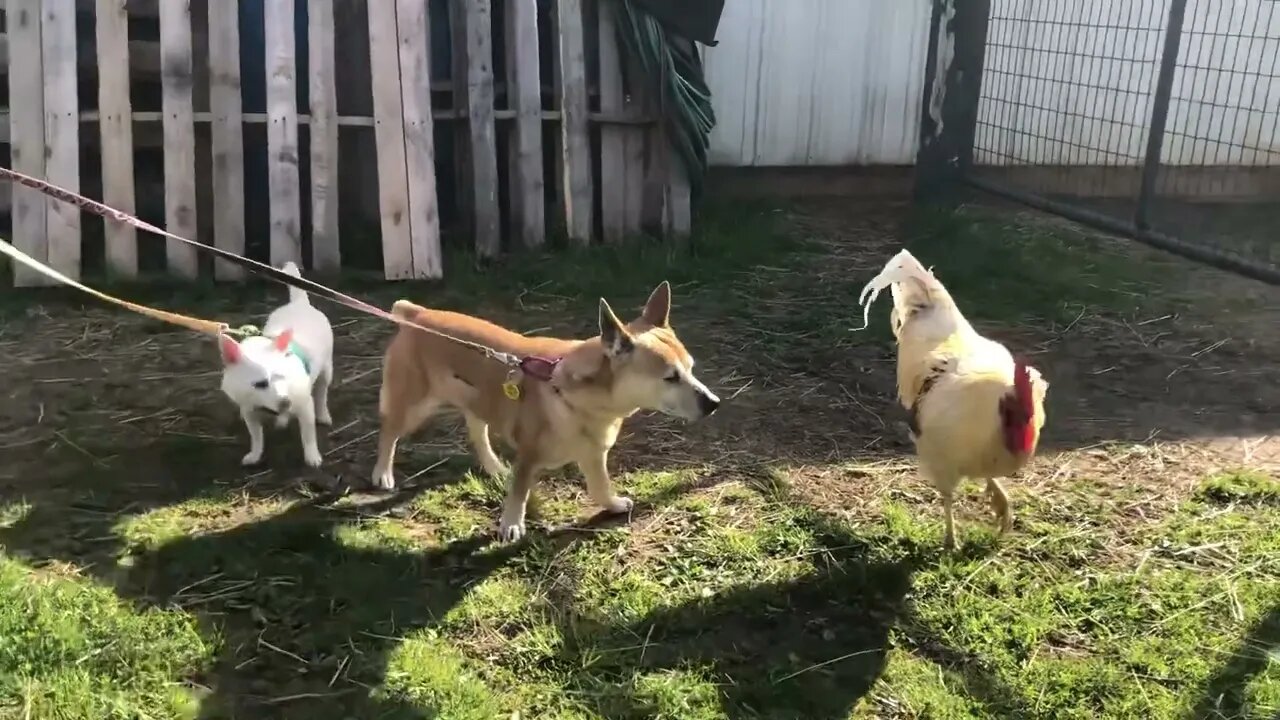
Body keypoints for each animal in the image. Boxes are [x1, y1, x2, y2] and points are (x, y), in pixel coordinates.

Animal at [222, 260, 337, 468]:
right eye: (260, 384)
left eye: (284, 375)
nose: (285, 401)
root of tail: (299, 303)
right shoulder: (249, 411)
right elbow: (256, 436)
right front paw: (255, 455)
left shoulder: (305, 406)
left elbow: (308, 435)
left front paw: (312, 457)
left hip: (326, 370)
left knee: (322, 392)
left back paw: (323, 414)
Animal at [371, 280, 721, 538]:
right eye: (670, 377)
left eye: (691, 368)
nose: (713, 403)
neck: (582, 395)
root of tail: (416, 314)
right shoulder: (528, 457)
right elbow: (520, 492)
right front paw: (511, 524)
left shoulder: (594, 455)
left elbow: (600, 487)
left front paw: (612, 504)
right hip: (413, 405)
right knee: (389, 432)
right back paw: (383, 473)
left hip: (476, 398)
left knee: (477, 430)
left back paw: (494, 466)